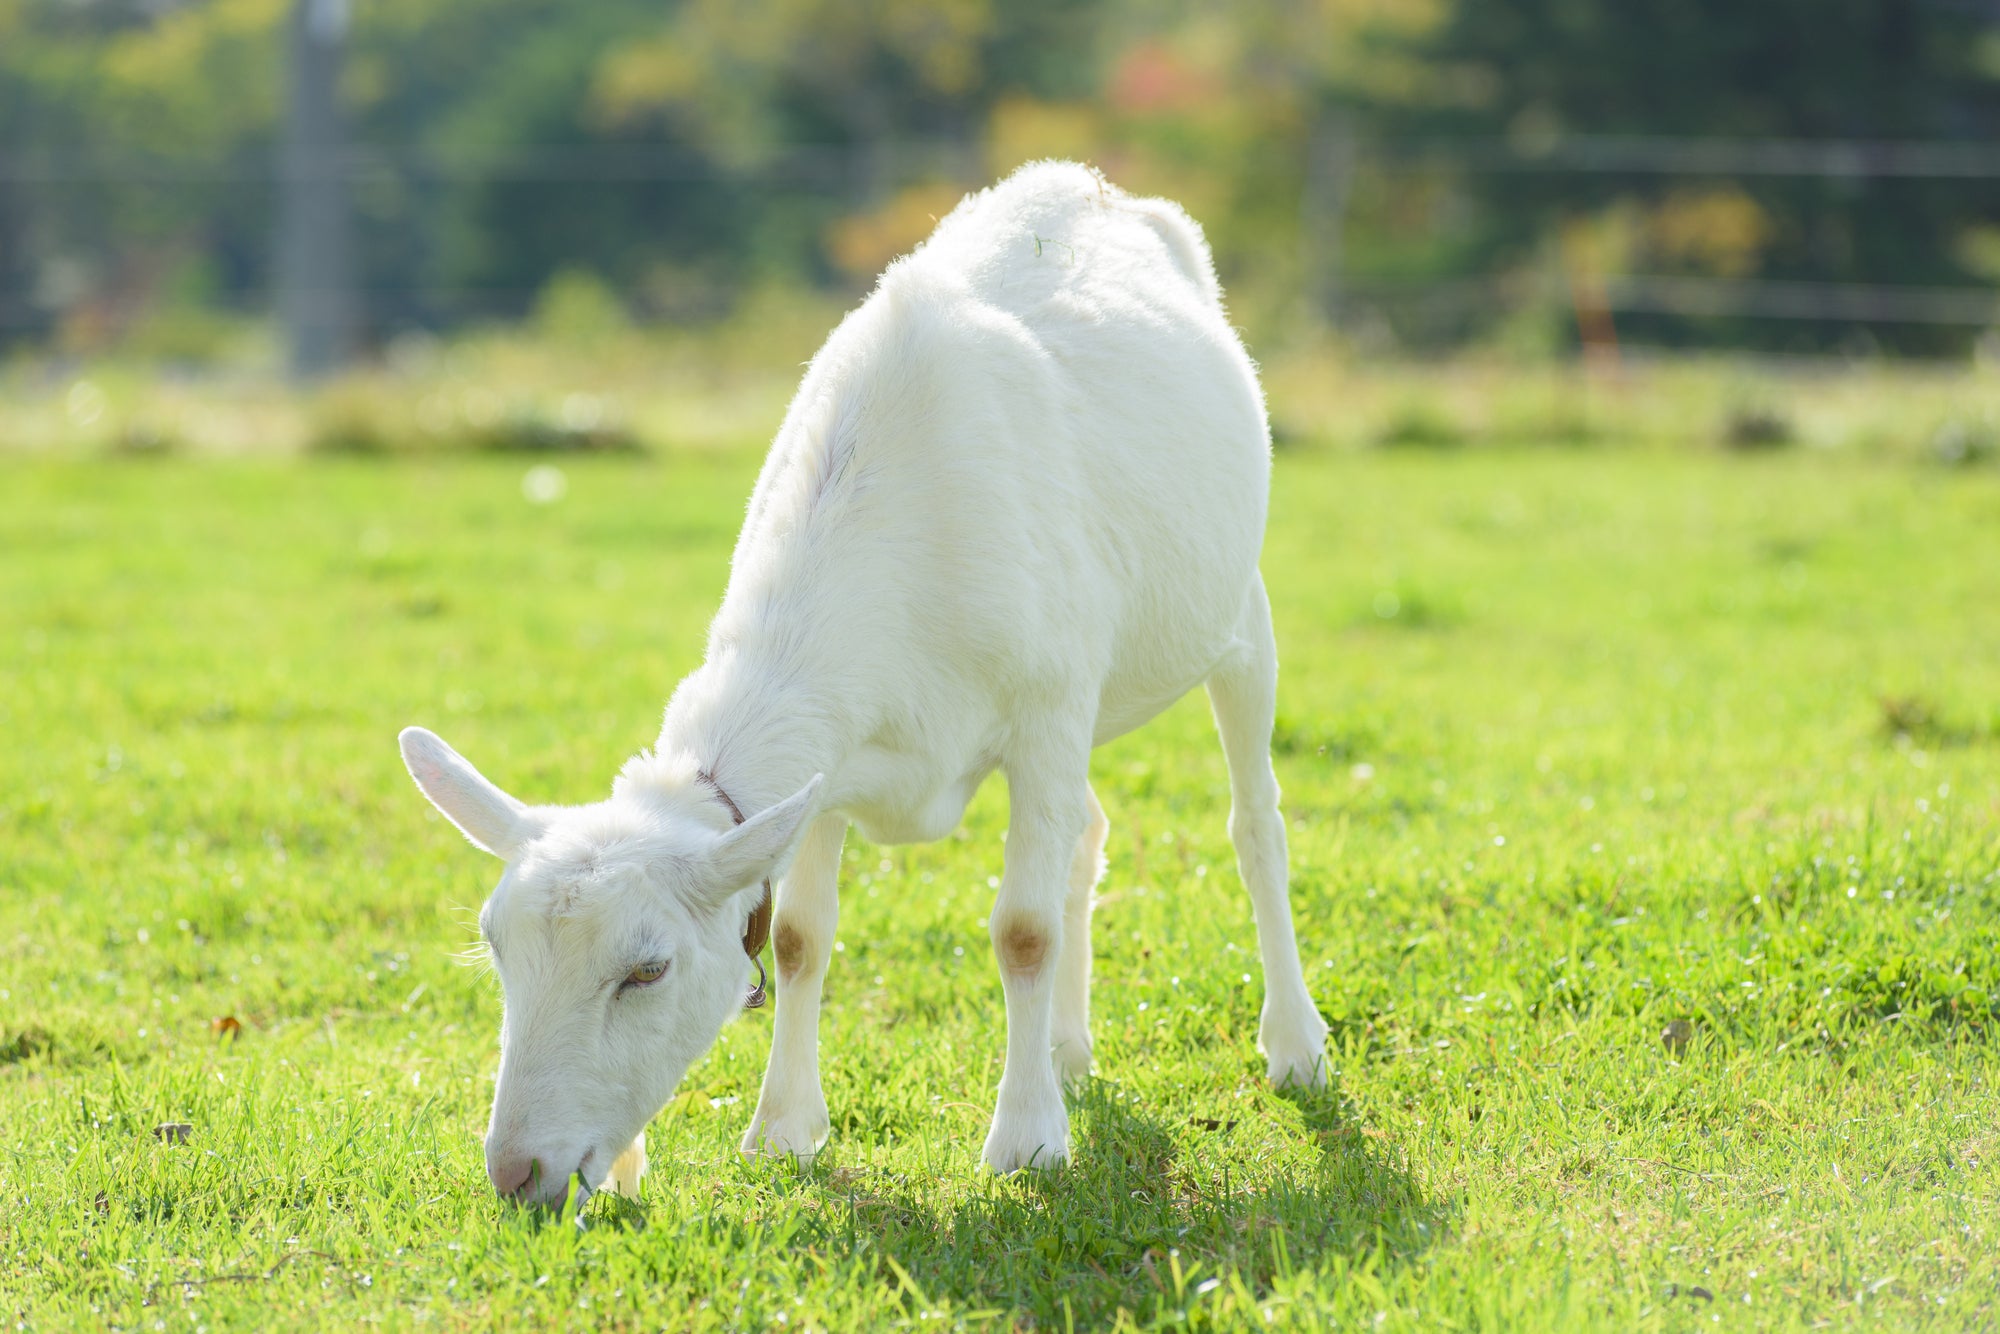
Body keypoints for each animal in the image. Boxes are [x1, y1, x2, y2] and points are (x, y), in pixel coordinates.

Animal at [399, 161, 1330, 1205]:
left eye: (647, 971)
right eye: (495, 946)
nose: (518, 1172)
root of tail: (1084, 182)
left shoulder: (1046, 710)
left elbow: (1022, 931)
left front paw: (1026, 1143)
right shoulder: (830, 764)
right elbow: (801, 936)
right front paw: (784, 1131)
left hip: (1234, 616)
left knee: (1253, 824)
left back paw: (1293, 1044)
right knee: (1087, 834)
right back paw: (1067, 1049)